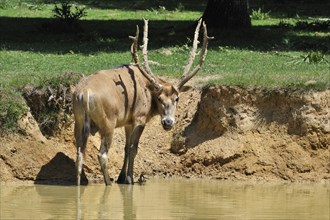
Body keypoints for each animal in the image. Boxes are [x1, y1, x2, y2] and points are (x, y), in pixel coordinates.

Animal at [72, 18, 213, 186]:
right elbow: (134, 148)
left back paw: (80, 183)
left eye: (177, 98)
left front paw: (121, 177)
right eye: (159, 98)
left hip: (78, 120)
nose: (168, 122)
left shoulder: (127, 121)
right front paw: (129, 178)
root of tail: (85, 93)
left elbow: (126, 147)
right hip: (108, 122)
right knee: (102, 154)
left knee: (79, 152)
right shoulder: (140, 117)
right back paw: (108, 182)